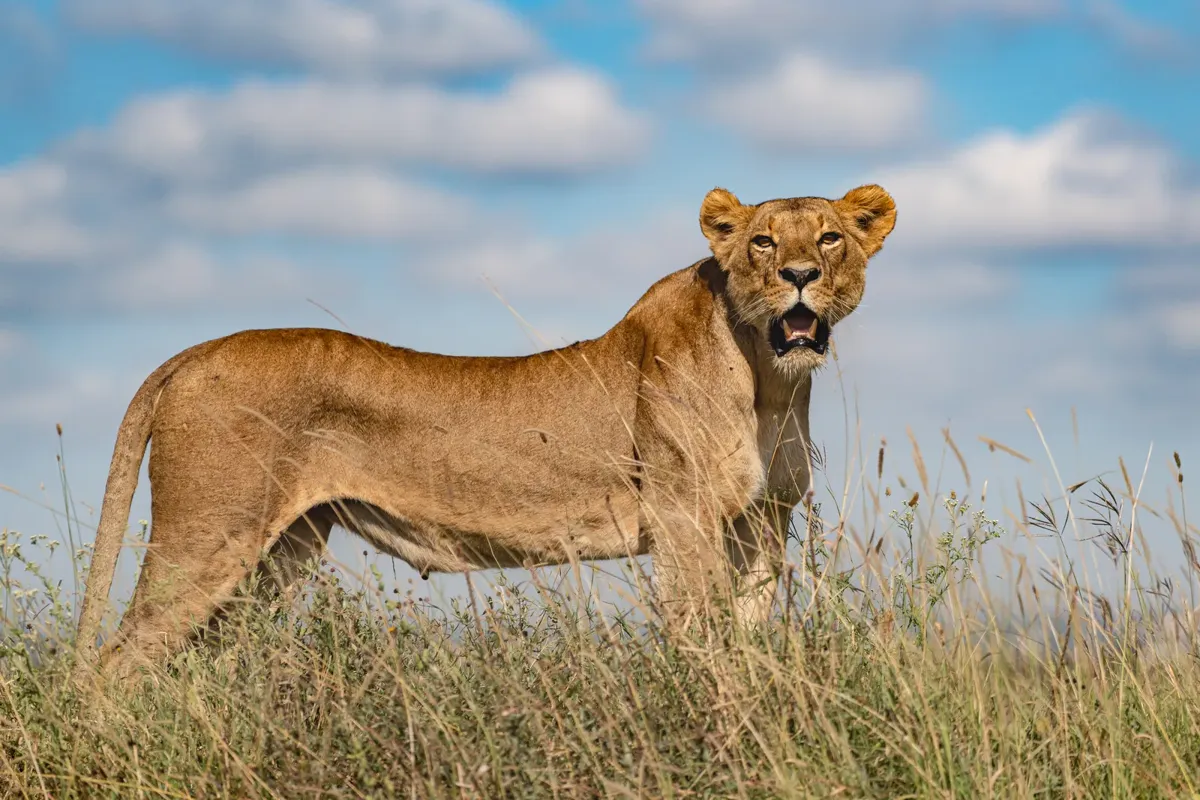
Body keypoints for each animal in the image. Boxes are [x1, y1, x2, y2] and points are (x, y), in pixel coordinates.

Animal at [72, 184, 896, 682]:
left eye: (829, 238)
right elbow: (701, 635)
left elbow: (751, 638)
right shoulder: (681, 516)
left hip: (279, 553)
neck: (768, 379)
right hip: (207, 535)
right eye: (762, 243)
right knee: (113, 666)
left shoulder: (763, 521)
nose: (798, 275)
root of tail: (192, 352)